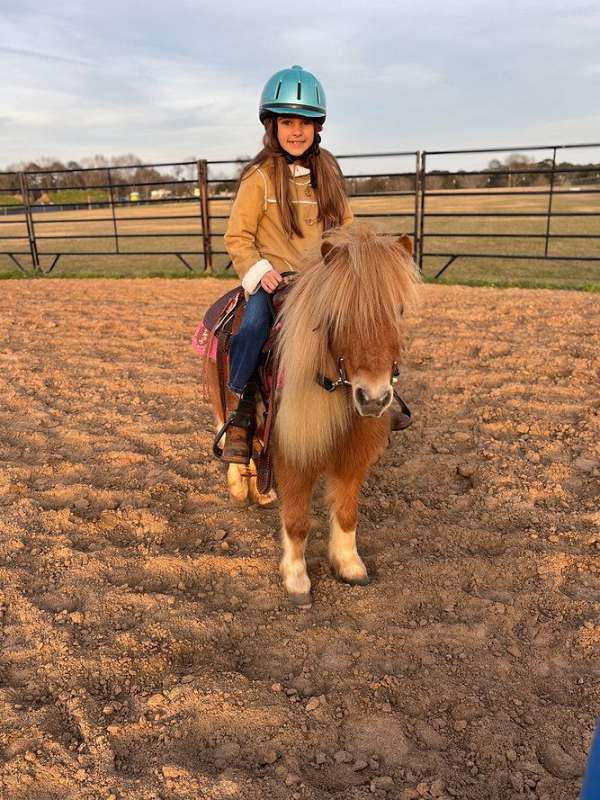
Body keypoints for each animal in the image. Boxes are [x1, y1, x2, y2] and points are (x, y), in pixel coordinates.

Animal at [205, 224, 419, 607]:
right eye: (340, 314)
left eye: (399, 309)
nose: (374, 398)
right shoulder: (293, 454)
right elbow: (297, 521)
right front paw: (296, 579)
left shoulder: (354, 455)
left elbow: (347, 513)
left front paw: (349, 565)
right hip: (222, 399)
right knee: (230, 431)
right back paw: (238, 488)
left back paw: (262, 494)